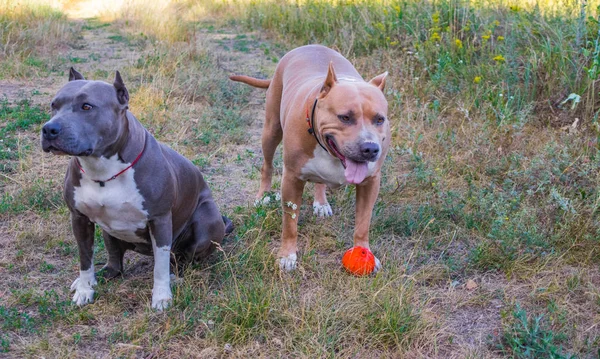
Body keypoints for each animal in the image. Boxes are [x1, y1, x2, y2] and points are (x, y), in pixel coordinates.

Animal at [41, 69, 232, 310]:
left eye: (86, 106)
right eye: (54, 105)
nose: (49, 129)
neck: (103, 170)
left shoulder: (160, 220)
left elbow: (160, 266)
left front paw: (161, 295)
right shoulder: (79, 218)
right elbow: (85, 259)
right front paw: (85, 289)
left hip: (205, 223)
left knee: (181, 260)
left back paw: (175, 277)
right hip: (109, 232)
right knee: (115, 262)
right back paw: (101, 275)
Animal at [230, 45, 390, 272]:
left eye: (380, 119)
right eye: (345, 117)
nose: (370, 149)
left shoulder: (370, 182)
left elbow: (363, 223)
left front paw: (364, 251)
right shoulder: (291, 178)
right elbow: (290, 224)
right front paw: (287, 256)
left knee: (319, 180)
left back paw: (321, 202)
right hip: (271, 130)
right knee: (266, 165)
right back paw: (263, 195)